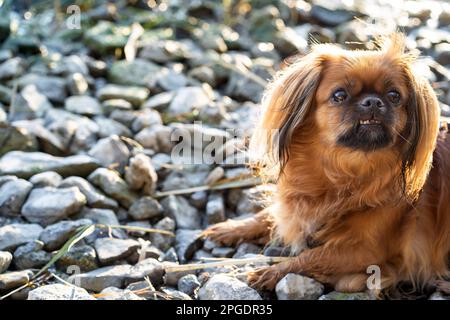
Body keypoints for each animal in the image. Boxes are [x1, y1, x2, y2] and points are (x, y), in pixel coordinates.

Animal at [204, 33, 450, 294]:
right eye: (339, 95)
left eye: (394, 96)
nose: (373, 102)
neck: (343, 170)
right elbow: (269, 215)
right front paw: (232, 228)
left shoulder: (363, 251)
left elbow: (310, 257)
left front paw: (270, 273)